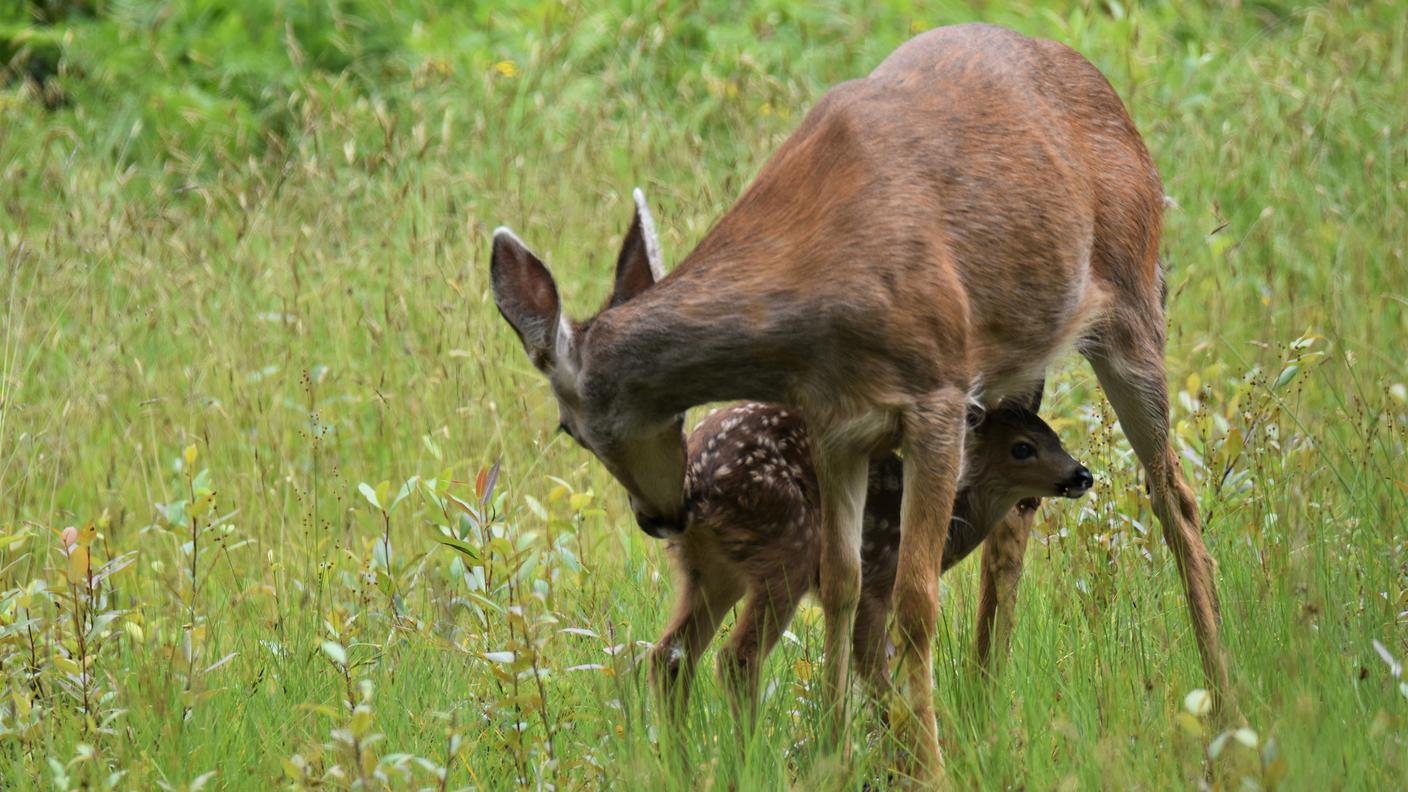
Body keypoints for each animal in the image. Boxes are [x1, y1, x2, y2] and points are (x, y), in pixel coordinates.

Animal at [650, 400, 1093, 717]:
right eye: (1022, 447)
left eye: (1054, 436)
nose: (1082, 475)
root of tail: (693, 483)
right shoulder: (876, 582)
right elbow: (879, 677)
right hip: (788, 542)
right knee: (736, 658)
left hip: (711, 570)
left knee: (668, 656)